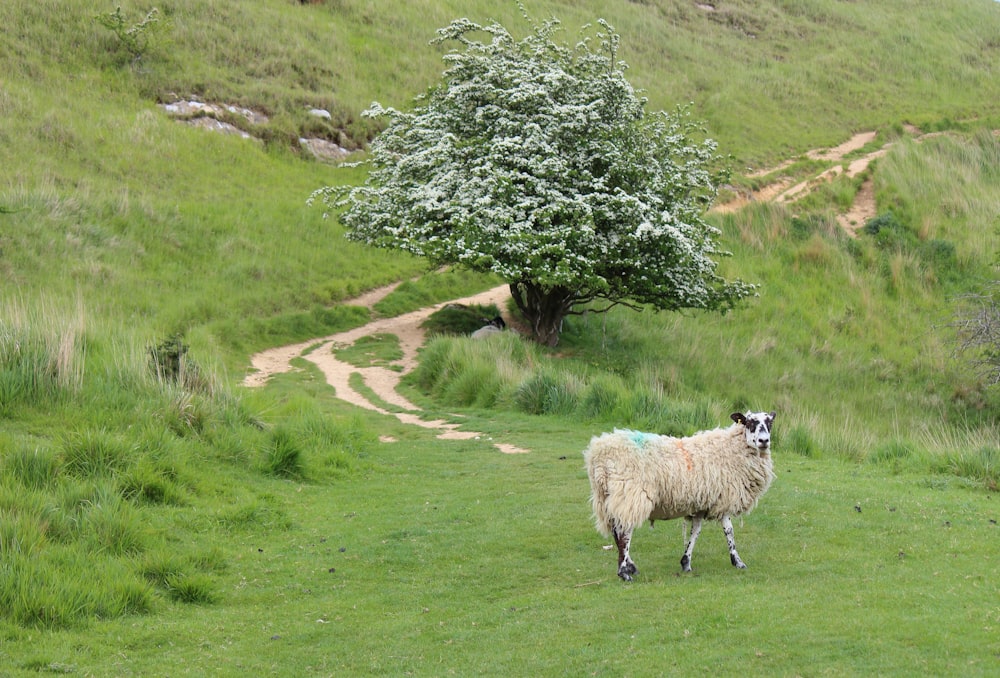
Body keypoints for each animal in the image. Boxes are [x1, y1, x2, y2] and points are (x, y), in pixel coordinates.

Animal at [584, 412, 776, 580]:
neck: (731, 448)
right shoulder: (723, 499)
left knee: (616, 532)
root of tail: (599, 454)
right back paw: (624, 572)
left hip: (607, 497)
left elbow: (695, 531)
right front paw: (737, 562)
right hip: (629, 495)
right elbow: (729, 531)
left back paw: (631, 566)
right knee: (624, 534)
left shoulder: (701, 503)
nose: (764, 441)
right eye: (749, 422)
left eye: (770, 423)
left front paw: (686, 562)